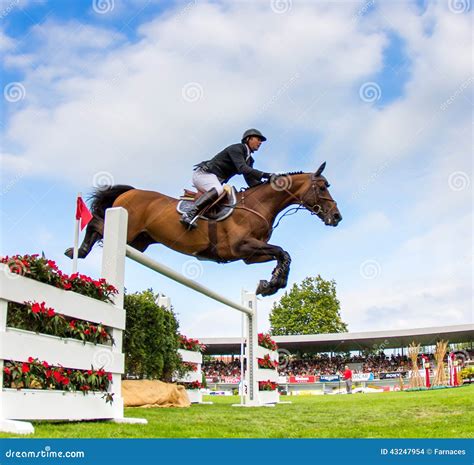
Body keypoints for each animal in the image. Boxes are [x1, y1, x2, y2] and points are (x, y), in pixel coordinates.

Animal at [65, 161, 340, 296]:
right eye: (322, 187)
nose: (337, 217)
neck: (257, 205)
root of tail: (130, 191)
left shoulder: (250, 255)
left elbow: (283, 255)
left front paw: (270, 284)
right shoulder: (241, 246)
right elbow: (282, 251)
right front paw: (273, 284)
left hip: (137, 241)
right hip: (128, 228)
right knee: (96, 223)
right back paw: (78, 250)